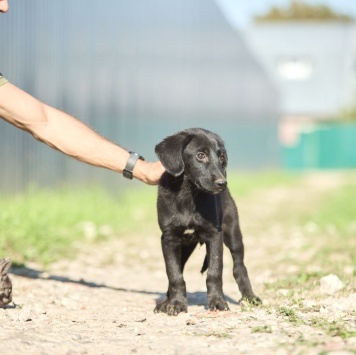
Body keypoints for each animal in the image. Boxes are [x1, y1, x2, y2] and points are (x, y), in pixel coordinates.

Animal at [154, 129, 260, 318]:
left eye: (221, 157)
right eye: (200, 155)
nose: (222, 183)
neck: (189, 194)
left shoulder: (215, 235)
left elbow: (214, 272)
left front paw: (217, 302)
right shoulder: (169, 238)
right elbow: (174, 274)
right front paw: (175, 303)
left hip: (233, 233)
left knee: (239, 267)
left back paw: (250, 297)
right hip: (184, 247)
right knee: (179, 269)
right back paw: (166, 302)